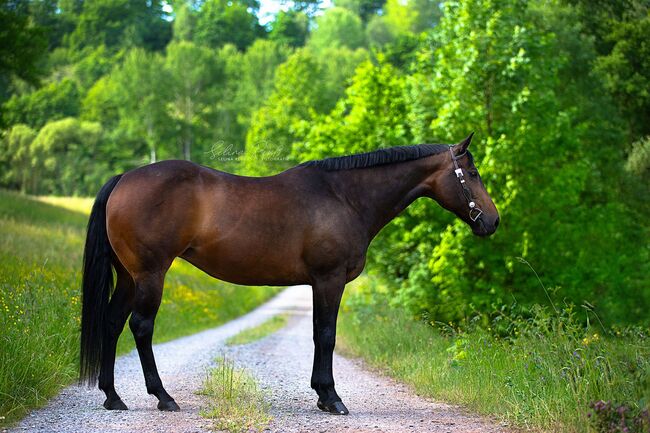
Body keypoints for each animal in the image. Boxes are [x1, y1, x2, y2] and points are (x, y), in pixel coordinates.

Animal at [79, 132, 496, 416]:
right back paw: (163, 397)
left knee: (112, 323)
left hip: (129, 277)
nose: (492, 221)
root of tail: (124, 178)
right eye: (472, 173)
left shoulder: (317, 284)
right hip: (151, 274)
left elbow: (316, 334)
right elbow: (326, 335)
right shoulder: (329, 280)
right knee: (141, 327)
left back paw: (113, 397)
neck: (345, 197)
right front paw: (332, 398)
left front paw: (322, 395)